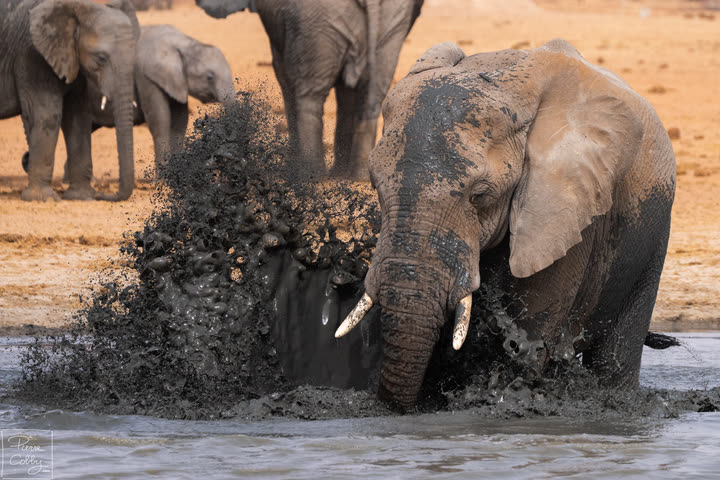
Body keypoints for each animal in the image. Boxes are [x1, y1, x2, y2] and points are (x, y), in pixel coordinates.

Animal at [0, 0, 137, 201]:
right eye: (101, 58)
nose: (102, 194)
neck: (76, 7)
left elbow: (78, 117)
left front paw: (82, 196)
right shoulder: (33, 57)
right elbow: (48, 114)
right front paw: (44, 199)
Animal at [194, 0, 423, 181]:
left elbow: (284, 74)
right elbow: (347, 91)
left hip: (315, 20)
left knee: (309, 94)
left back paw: (310, 176)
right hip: (387, 23)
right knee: (371, 96)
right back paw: (358, 178)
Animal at [334, 40, 676, 409]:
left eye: (479, 195)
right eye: (375, 186)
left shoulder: (568, 212)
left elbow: (533, 332)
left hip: (652, 234)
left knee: (615, 354)